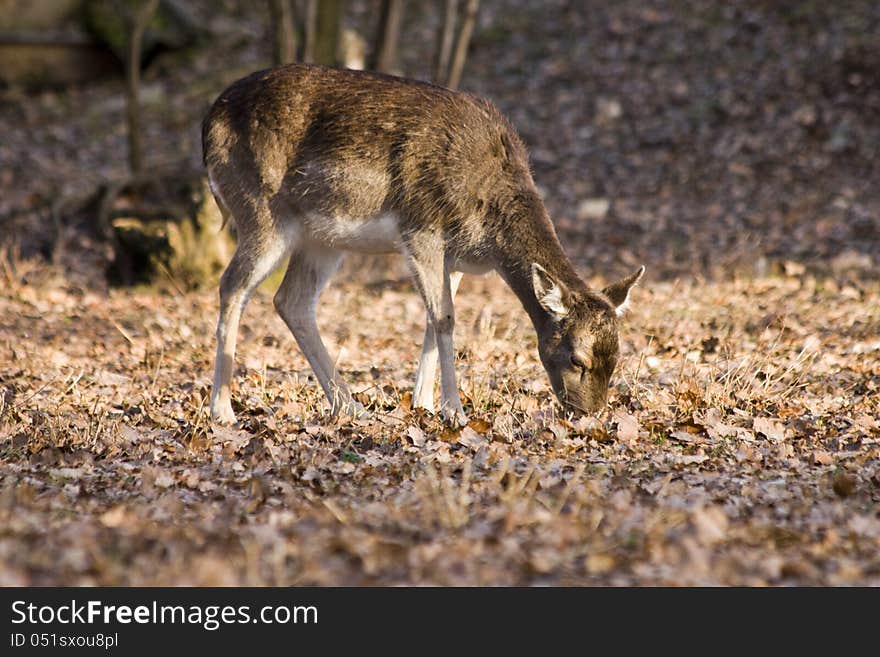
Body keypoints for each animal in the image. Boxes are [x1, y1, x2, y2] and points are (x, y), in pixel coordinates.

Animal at [205, 62, 648, 426]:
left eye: (617, 357)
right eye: (577, 358)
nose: (589, 415)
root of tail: (208, 124)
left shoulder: (455, 259)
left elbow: (433, 320)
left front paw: (424, 404)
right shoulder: (421, 229)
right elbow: (445, 318)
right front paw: (454, 410)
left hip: (322, 240)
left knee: (291, 300)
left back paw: (349, 406)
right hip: (261, 210)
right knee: (232, 285)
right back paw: (222, 410)